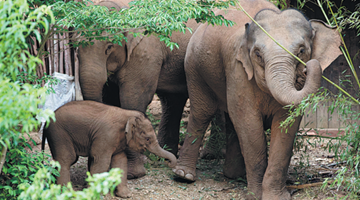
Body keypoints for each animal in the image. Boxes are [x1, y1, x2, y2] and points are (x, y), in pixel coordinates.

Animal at [42, 101, 177, 198]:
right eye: (148, 138)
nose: (170, 164)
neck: (127, 114)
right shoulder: (106, 135)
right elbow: (102, 162)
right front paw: (92, 194)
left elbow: (120, 161)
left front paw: (126, 195)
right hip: (59, 134)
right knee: (66, 159)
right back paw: (66, 192)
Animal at [78, 0, 200, 178]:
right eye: (75, 48)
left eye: (109, 47)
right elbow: (111, 99)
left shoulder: (145, 53)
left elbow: (133, 99)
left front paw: (133, 174)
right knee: (172, 100)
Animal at [174, 0, 344, 199]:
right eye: (257, 54)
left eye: (302, 50)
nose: (305, 69)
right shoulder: (239, 70)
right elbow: (249, 124)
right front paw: (255, 195)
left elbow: (286, 127)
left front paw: (275, 196)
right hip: (194, 67)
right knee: (202, 112)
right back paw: (184, 176)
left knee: (230, 118)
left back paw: (233, 174)